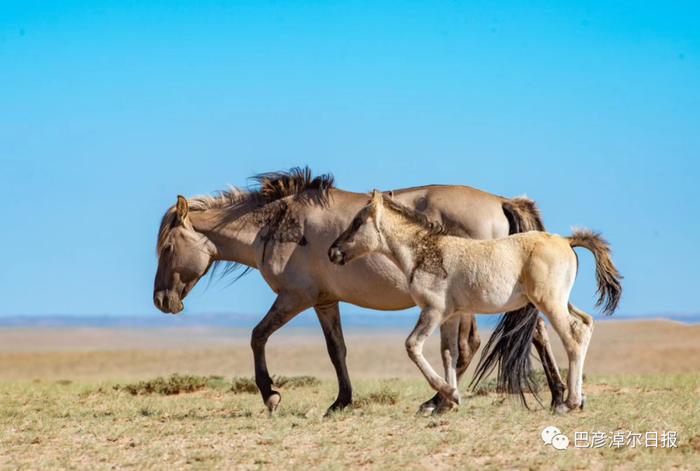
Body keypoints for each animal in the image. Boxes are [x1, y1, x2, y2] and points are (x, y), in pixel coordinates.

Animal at [152, 168, 564, 414]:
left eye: (167, 247)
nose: (161, 301)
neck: (277, 225)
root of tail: (501, 201)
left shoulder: (294, 299)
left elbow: (257, 337)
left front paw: (271, 395)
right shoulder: (324, 302)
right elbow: (337, 351)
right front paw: (341, 401)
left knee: (471, 346)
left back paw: (440, 400)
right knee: (534, 334)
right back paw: (557, 396)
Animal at [330, 191, 624, 412]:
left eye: (357, 222)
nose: (333, 252)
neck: (427, 252)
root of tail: (566, 240)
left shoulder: (432, 312)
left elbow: (412, 346)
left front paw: (448, 394)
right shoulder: (449, 317)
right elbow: (448, 353)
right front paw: (447, 403)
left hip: (549, 303)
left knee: (573, 336)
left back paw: (569, 403)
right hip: (560, 302)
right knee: (585, 324)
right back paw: (577, 398)